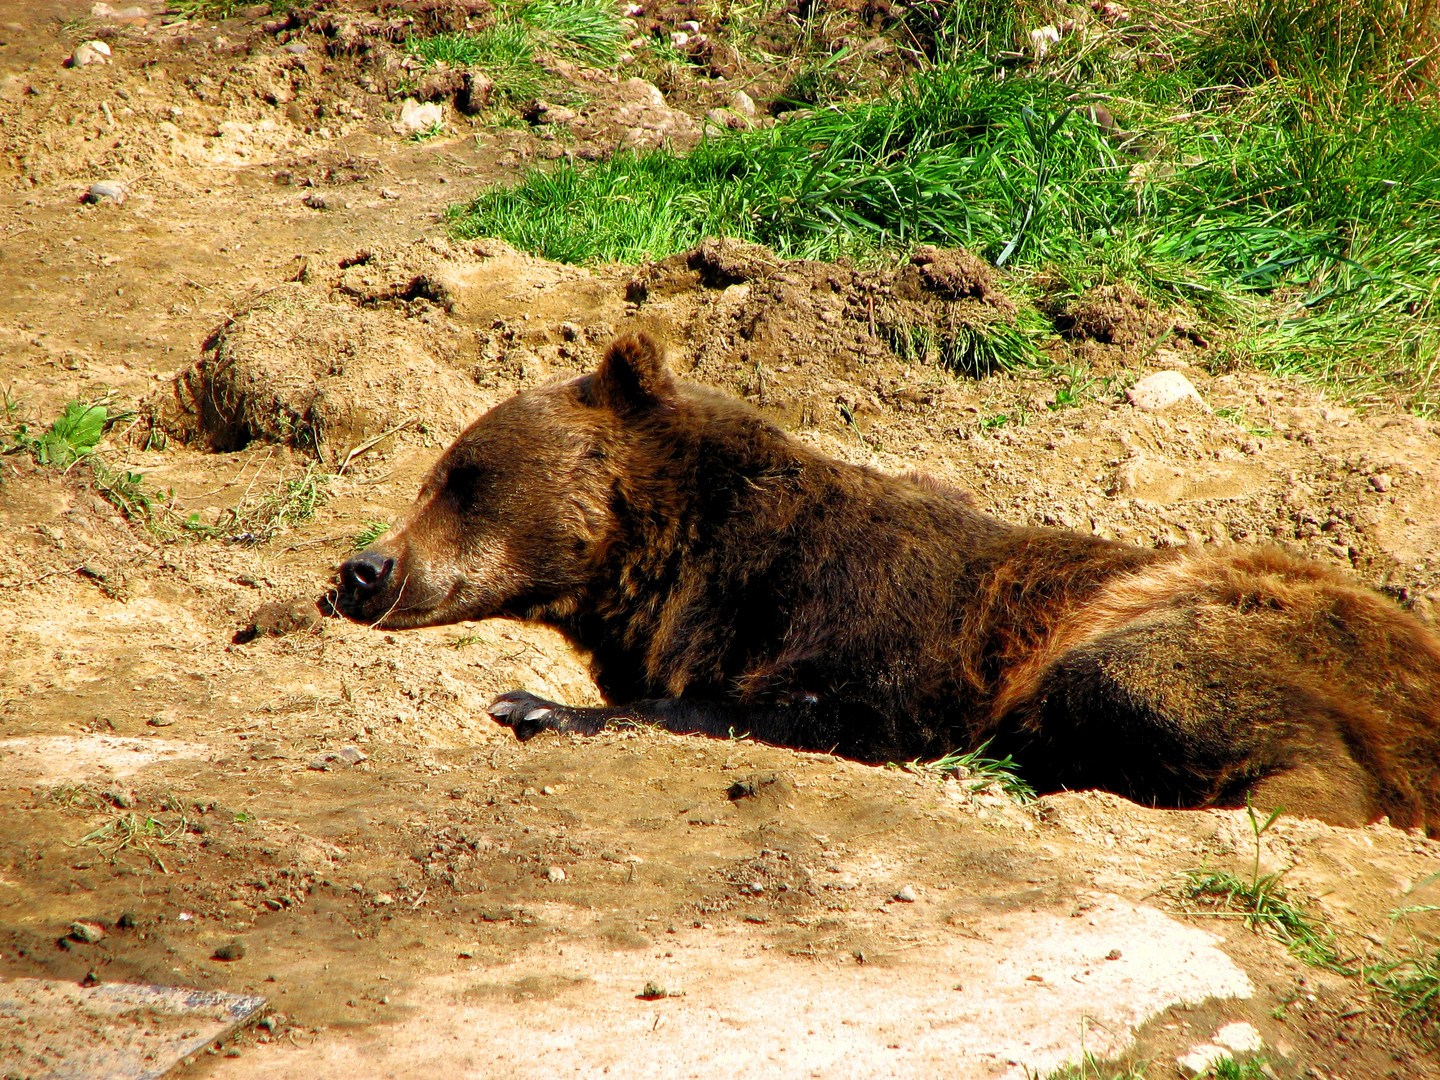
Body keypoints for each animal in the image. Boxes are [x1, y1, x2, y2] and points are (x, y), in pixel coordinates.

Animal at [331, 334, 1440, 835]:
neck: (689, 573)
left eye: (463, 477)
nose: (363, 569)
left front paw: (534, 704)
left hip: (1238, 620)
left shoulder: (872, 619)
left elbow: (806, 709)